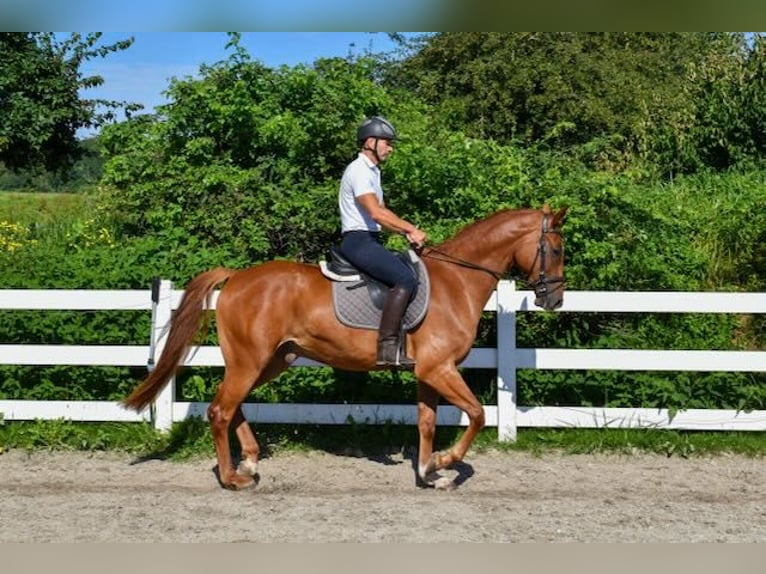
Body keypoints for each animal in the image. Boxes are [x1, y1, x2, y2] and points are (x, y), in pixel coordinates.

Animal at [123, 204, 568, 490]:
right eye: (557, 249)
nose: (555, 300)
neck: (455, 282)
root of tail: (236, 277)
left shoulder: (428, 372)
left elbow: (426, 422)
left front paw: (428, 471)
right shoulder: (438, 369)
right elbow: (477, 414)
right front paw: (445, 462)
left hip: (271, 360)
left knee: (233, 406)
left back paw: (248, 460)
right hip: (251, 360)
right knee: (220, 410)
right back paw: (232, 477)